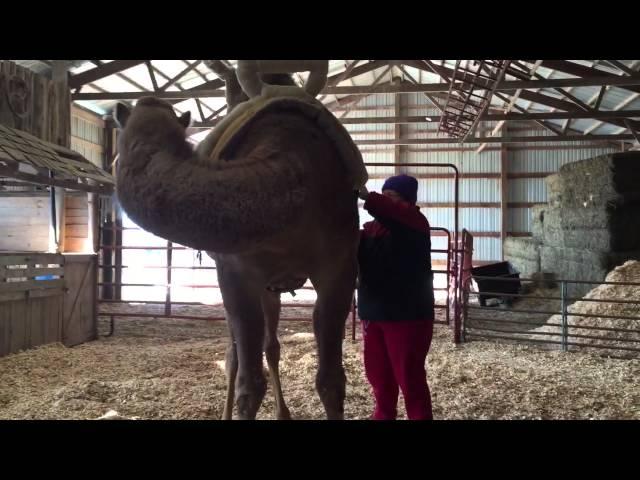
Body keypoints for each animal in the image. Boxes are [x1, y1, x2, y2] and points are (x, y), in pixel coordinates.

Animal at [114, 61, 364, 420]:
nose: (151, 100)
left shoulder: (340, 265)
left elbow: (330, 380)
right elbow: (249, 380)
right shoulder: (235, 272)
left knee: (270, 346)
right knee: (236, 354)